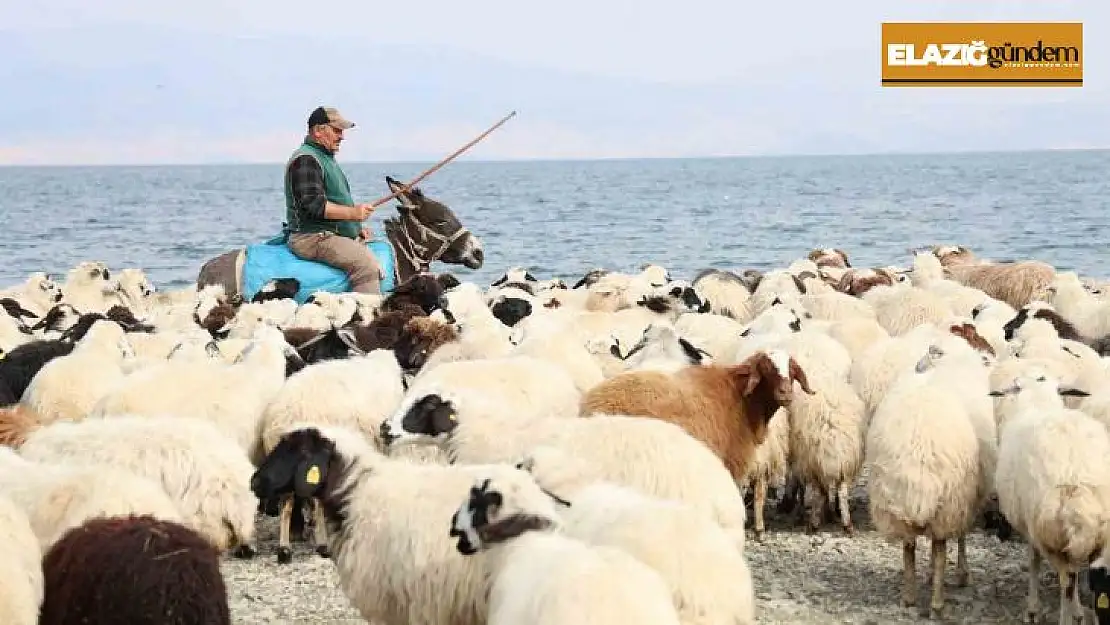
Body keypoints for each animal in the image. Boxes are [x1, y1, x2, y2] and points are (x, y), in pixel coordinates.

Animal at [581, 353, 816, 484]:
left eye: (792, 371)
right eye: (766, 369)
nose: (785, 393)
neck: (742, 401)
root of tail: (589, 404)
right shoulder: (730, 464)